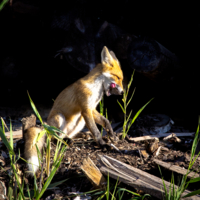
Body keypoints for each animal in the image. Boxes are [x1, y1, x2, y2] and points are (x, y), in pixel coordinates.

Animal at [23, 46, 123, 174]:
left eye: (121, 79)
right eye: (118, 77)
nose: (122, 92)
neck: (96, 90)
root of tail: (45, 126)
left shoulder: (91, 108)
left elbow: (105, 121)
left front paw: (111, 134)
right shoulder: (85, 109)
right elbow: (96, 131)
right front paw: (102, 144)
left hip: (80, 121)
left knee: (69, 134)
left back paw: (81, 136)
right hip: (59, 117)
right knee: (54, 138)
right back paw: (65, 141)